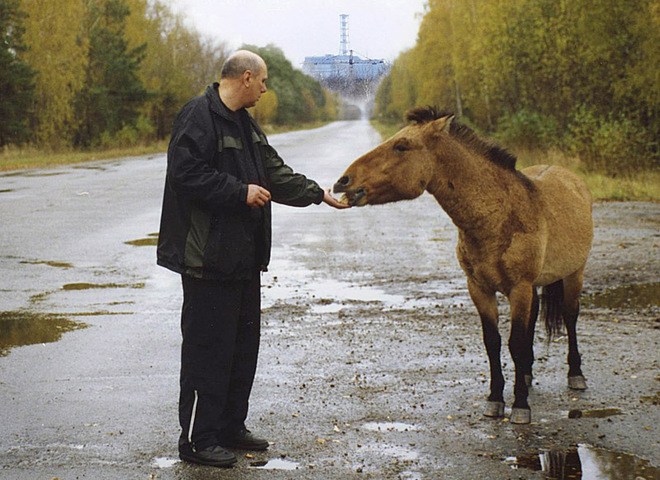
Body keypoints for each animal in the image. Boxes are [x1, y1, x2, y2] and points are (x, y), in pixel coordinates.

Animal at [332, 108, 596, 424]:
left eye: (401, 146)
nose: (343, 182)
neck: (499, 217)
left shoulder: (518, 288)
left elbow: (515, 343)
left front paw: (520, 406)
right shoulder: (479, 288)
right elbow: (493, 343)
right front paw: (495, 400)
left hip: (573, 274)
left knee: (570, 316)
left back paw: (576, 375)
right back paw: (528, 375)